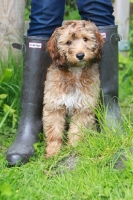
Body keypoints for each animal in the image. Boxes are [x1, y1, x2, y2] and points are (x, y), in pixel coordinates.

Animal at [42, 19, 104, 158]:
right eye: (68, 42)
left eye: (85, 39)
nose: (80, 55)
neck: (75, 72)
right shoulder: (54, 106)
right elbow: (54, 131)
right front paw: (53, 151)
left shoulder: (84, 108)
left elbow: (76, 131)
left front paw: (73, 148)